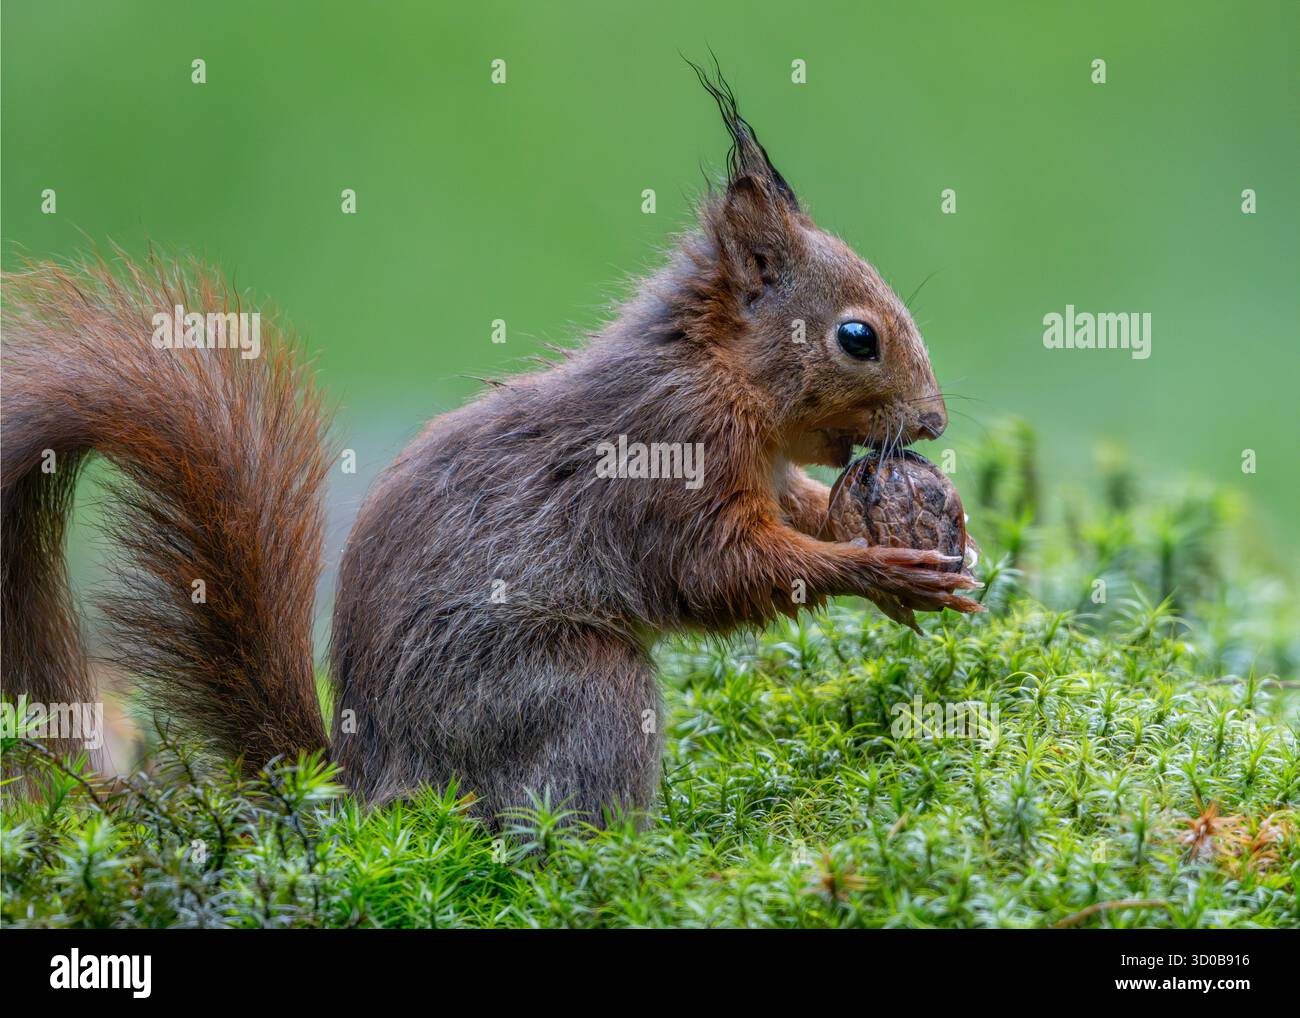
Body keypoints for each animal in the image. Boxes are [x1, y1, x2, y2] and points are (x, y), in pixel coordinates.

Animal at [0, 66, 980, 825]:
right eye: (857, 338)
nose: (934, 423)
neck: (718, 372)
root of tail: (374, 798)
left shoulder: (759, 466)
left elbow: (794, 511)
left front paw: (943, 541)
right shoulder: (668, 454)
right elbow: (718, 570)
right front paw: (881, 569)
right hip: (571, 690)